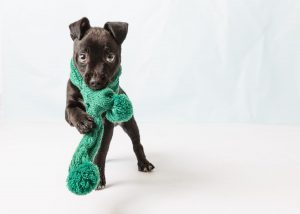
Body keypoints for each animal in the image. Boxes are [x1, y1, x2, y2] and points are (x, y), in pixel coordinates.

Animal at [65, 17, 155, 190]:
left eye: (110, 57)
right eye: (82, 56)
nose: (95, 81)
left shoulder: (106, 125)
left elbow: (101, 151)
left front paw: (98, 178)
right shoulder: (68, 109)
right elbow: (74, 111)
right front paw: (83, 122)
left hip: (129, 123)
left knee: (136, 143)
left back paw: (144, 163)